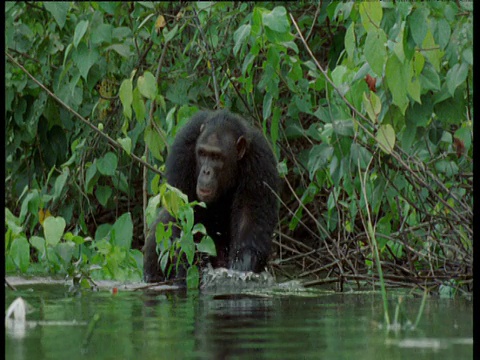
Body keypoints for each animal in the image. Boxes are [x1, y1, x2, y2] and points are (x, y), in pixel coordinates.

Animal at [142, 108, 278, 282]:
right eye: (202, 153)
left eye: (216, 157)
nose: (206, 171)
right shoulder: (182, 149)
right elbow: (184, 218)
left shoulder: (261, 163)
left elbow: (251, 222)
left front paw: (241, 268)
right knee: (163, 223)